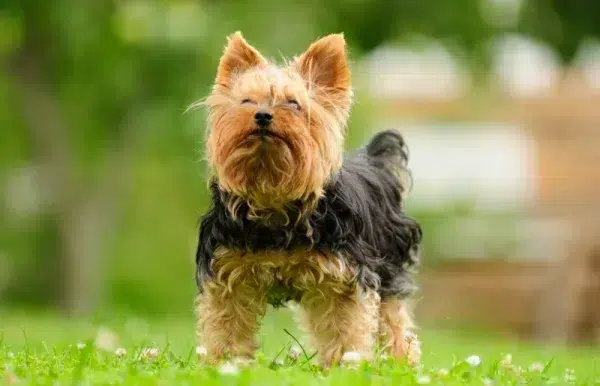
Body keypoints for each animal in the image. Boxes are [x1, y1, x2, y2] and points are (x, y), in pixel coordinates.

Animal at [192, 31, 422, 366]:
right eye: (246, 101)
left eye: (293, 103)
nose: (262, 115)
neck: (272, 193)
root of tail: (372, 161)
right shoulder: (228, 273)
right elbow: (227, 324)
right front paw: (225, 364)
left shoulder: (345, 277)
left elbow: (346, 327)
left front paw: (347, 365)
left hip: (389, 266)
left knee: (394, 320)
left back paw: (400, 361)